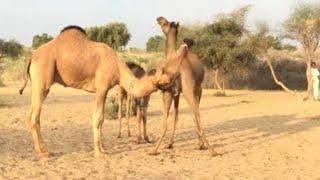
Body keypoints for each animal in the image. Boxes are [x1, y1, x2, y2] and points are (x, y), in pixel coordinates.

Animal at [18, 25, 189, 158]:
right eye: (169, 78)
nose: (176, 91)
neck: (118, 67)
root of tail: (32, 56)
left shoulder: (105, 90)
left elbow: (102, 120)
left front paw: (103, 149)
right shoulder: (101, 88)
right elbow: (97, 118)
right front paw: (98, 152)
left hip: (38, 85)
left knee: (32, 116)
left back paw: (43, 150)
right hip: (42, 81)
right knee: (34, 117)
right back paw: (43, 153)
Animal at [149, 17, 219, 156]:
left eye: (165, 23)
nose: (158, 18)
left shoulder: (180, 92)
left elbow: (176, 116)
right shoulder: (176, 92)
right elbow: (176, 116)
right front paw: (170, 144)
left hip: (186, 91)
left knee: (195, 117)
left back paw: (210, 149)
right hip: (185, 91)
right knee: (195, 116)